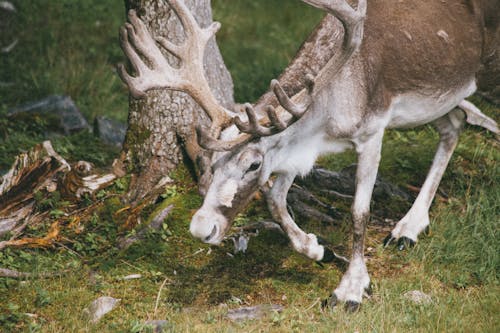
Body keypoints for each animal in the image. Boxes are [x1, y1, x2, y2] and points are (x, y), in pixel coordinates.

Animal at [119, 0, 498, 308]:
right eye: (210, 163)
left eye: (253, 164)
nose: (201, 228)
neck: (327, 118)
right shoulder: (296, 148)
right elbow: (275, 200)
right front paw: (319, 249)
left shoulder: (372, 131)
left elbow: (359, 212)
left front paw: (351, 289)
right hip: (437, 101)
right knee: (455, 123)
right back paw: (409, 227)